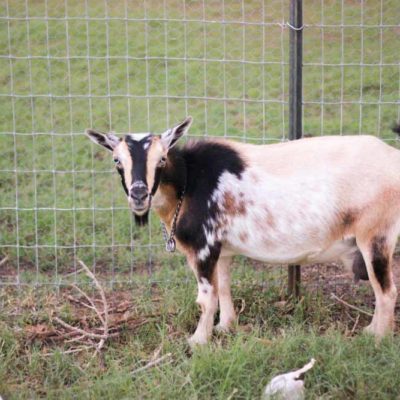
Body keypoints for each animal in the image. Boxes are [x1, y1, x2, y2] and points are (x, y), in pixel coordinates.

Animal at [86, 117, 400, 346]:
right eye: (117, 161)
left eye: (161, 159)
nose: (139, 194)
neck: (189, 181)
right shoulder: (221, 250)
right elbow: (223, 286)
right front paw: (226, 326)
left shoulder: (203, 247)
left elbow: (206, 296)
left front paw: (198, 341)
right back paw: (371, 331)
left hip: (375, 234)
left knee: (386, 291)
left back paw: (376, 338)